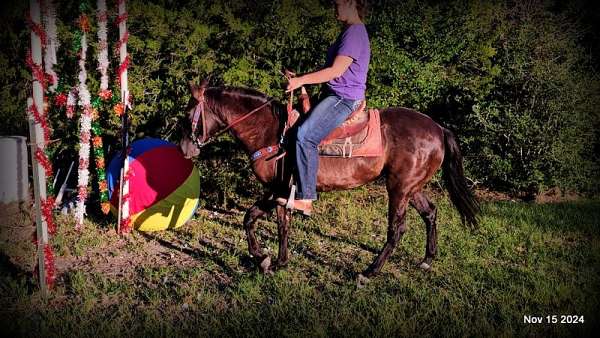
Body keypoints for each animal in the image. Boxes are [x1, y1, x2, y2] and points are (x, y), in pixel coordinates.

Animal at [177, 79, 478, 280]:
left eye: (187, 115)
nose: (184, 150)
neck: (270, 132)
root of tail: (438, 128)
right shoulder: (275, 190)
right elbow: (249, 218)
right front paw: (262, 258)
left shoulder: (280, 189)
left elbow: (279, 225)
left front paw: (275, 262)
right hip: (411, 187)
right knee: (430, 212)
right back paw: (427, 260)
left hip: (399, 188)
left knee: (397, 229)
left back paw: (369, 272)